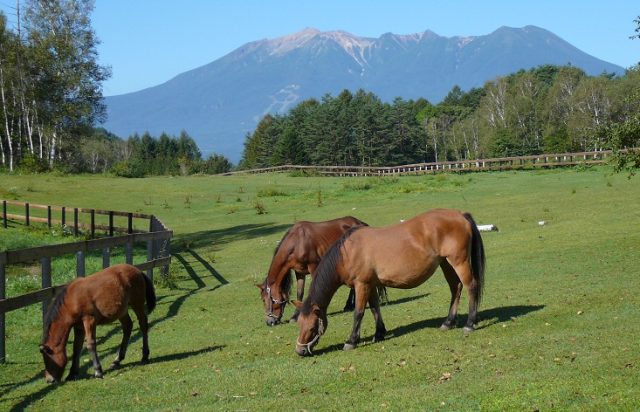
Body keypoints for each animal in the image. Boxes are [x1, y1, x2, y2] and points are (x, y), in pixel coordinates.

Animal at [294, 211, 484, 356]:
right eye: (299, 324)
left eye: (312, 327)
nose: (300, 351)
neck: (348, 252)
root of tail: (460, 214)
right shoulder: (370, 284)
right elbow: (374, 308)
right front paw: (379, 333)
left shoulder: (361, 285)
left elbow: (359, 313)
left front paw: (351, 341)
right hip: (446, 263)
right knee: (455, 288)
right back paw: (448, 322)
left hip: (459, 262)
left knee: (471, 287)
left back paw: (469, 324)